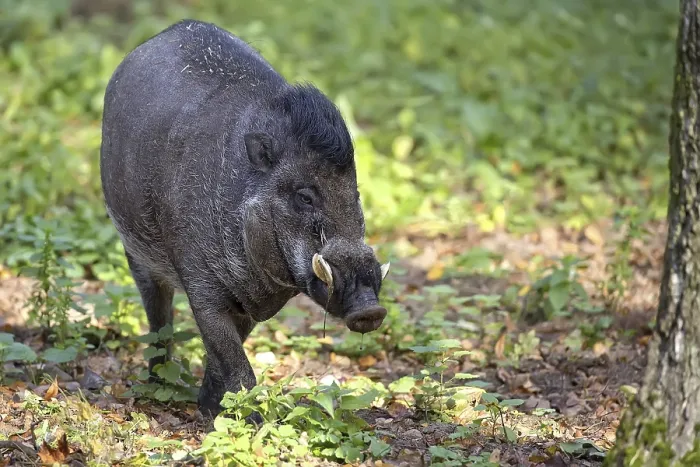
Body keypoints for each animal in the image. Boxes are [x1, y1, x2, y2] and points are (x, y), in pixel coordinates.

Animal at [99, 19, 390, 418]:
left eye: (356, 194)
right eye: (304, 196)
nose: (370, 309)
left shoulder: (252, 304)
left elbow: (228, 349)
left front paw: (211, 409)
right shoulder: (200, 283)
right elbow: (234, 360)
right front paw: (244, 419)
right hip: (134, 251)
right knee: (158, 316)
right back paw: (157, 382)